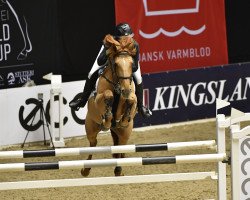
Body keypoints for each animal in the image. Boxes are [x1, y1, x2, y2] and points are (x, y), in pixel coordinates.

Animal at [81, 34, 138, 177]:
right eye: (116, 64)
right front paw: (107, 116)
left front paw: (125, 118)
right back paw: (85, 170)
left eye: (132, 64)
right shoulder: (99, 98)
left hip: (124, 133)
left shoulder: (130, 96)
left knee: (121, 148)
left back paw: (119, 170)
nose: (125, 90)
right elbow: (108, 95)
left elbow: (132, 99)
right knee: (93, 144)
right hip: (91, 127)